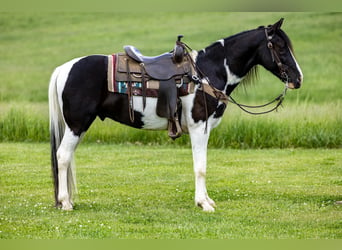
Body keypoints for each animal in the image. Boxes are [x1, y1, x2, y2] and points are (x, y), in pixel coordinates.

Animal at [47, 18, 302, 212]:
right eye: (280, 47)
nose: (298, 79)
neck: (207, 73)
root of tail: (63, 69)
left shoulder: (204, 129)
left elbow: (202, 163)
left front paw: (206, 200)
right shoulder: (199, 127)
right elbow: (200, 166)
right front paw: (203, 204)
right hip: (77, 125)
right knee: (63, 156)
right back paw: (65, 203)